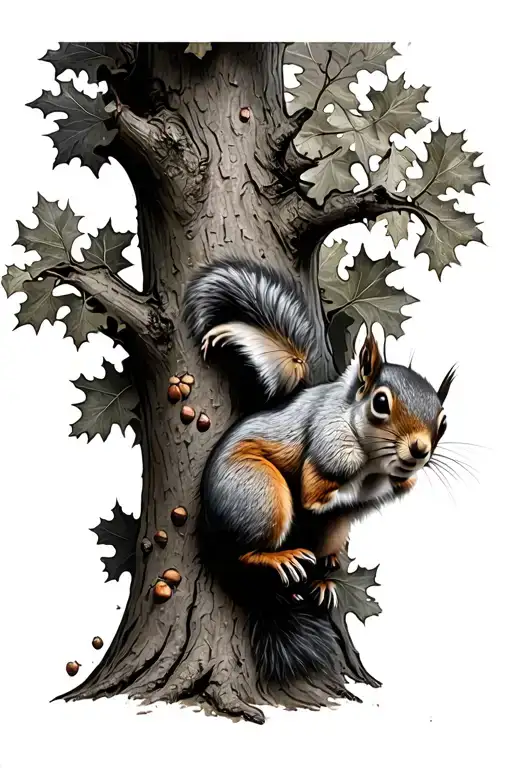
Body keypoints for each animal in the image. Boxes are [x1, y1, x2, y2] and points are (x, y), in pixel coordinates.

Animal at [183, 257, 455, 684]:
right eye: (380, 402)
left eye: (443, 422)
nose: (419, 450)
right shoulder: (327, 447)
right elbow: (315, 495)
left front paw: (402, 477)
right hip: (259, 494)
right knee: (242, 551)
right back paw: (277, 559)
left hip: (331, 529)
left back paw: (325, 578)